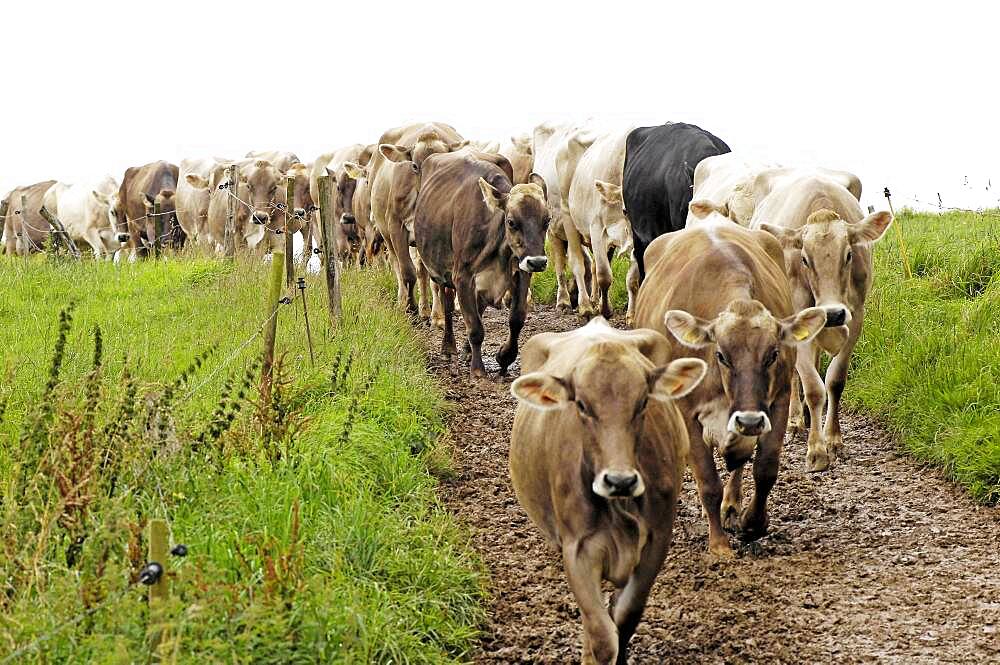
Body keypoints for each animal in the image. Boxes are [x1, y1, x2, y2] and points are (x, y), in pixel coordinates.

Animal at [418, 152, 552, 378]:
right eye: (511, 222)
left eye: (547, 220)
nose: (537, 262)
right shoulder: (462, 276)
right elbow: (474, 327)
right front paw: (478, 370)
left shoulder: (521, 272)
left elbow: (516, 318)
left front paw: (505, 357)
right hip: (443, 272)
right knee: (448, 306)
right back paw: (449, 348)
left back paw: (465, 350)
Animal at [512, 318, 708, 664]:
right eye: (581, 404)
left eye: (643, 402)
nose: (620, 481)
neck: (619, 507)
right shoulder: (577, 548)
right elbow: (602, 635)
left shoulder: (656, 540)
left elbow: (624, 617)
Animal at [632, 218, 828, 556]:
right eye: (721, 355)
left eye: (773, 354)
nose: (749, 420)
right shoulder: (687, 412)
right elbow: (707, 480)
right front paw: (719, 544)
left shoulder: (776, 401)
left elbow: (764, 466)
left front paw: (753, 522)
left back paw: (733, 506)